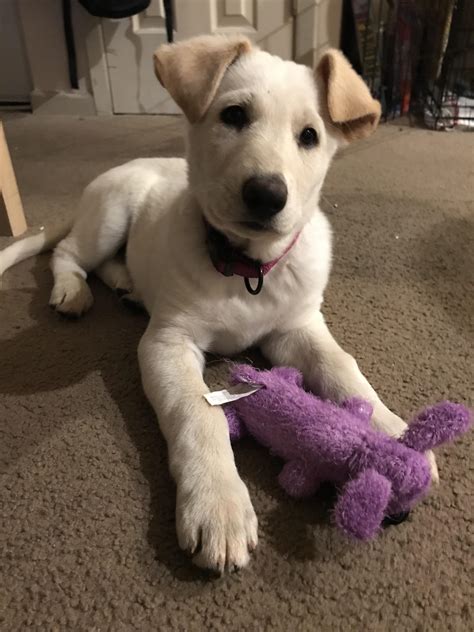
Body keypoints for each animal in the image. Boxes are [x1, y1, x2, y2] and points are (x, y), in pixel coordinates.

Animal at [0, 37, 436, 576]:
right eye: (234, 115)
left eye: (309, 136)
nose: (267, 194)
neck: (246, 268)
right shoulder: (167, 343)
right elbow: (198, 412)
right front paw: (218, 506)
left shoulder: (297, 326)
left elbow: (342, 366)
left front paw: (395, 434)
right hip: (110, 214)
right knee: (69, 255)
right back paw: (71, 292)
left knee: (106, 263)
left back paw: (128, 285)